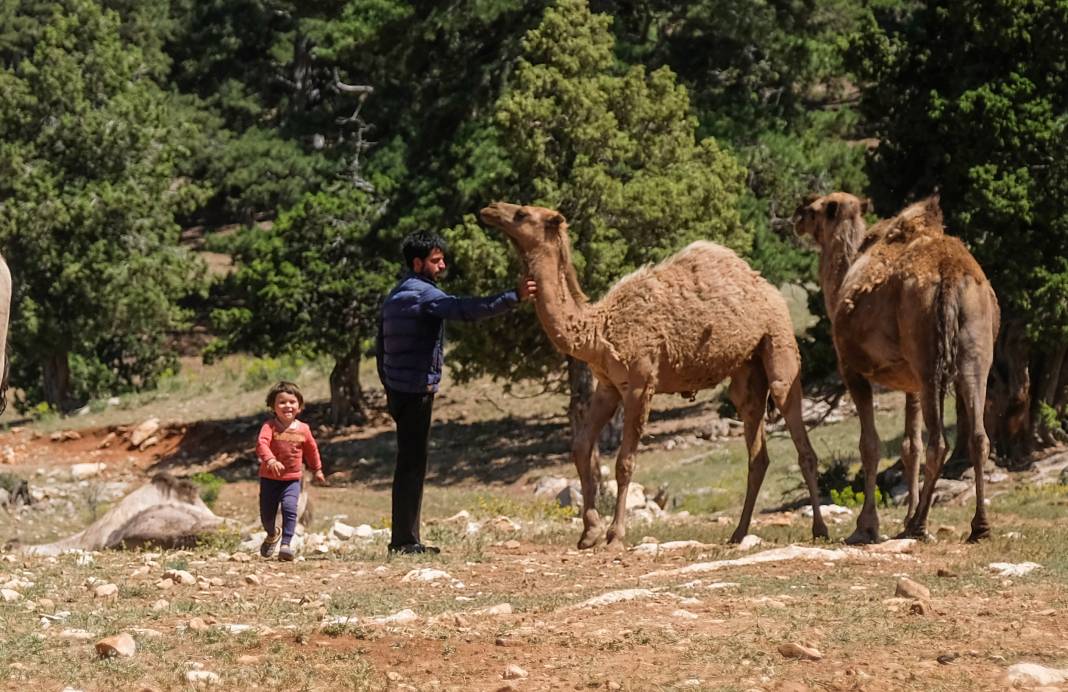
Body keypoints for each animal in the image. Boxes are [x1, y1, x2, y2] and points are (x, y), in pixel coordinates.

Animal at [480, 202, 828, 546]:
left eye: (522, 214)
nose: (490, 208)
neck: (598, 330)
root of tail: (769, 289)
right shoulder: (608, 386)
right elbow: (581, 448)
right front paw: (589, 532)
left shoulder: (639, 383)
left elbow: (624, 462)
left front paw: (615, 535)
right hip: (747, 372)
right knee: (757, 451)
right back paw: (738, 533)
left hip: (778, 343)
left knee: (801, 441)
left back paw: (819, 529)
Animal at [794, 192, 999, 542]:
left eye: (813, 209)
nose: (796, 218)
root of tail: (952, 275)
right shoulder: (910, 383)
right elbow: (909, 447)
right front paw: (902, 518)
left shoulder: (852, 370)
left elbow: (870, 445)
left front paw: (866, 526)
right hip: (975, 350)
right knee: (978, 436)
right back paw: (978, 527)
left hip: (927, 355)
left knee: (938, 442)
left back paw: (920, 525)